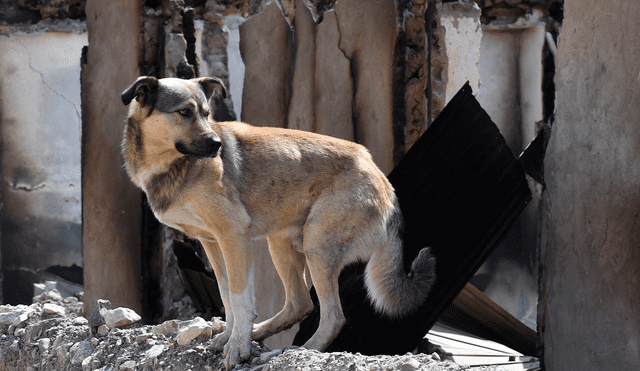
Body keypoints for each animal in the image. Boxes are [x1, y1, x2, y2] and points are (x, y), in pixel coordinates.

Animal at [121, 75, 436, 370]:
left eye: (206, 113)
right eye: (184, 112)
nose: (217, 145)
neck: (172, 165)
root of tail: (381, 178)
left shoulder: (233, 236)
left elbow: (240, 298)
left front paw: (238, 347)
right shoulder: (213, 242)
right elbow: (226, 294)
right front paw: (232, 338)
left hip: (316, 246)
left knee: (333, 316)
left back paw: (305, 350)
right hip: (281, 243)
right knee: (301, 303)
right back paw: (260, 333)